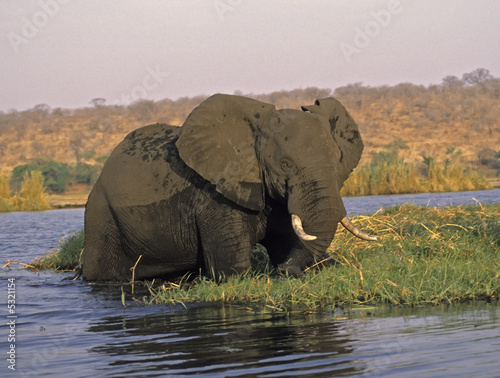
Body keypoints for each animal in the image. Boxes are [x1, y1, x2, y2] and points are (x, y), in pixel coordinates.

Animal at [81, 93, 376, 282]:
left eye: (338, 160)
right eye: (285, 165)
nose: (285, 272)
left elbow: (285, 241)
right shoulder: (216, 197)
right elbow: (233, 271)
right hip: (100, 213)